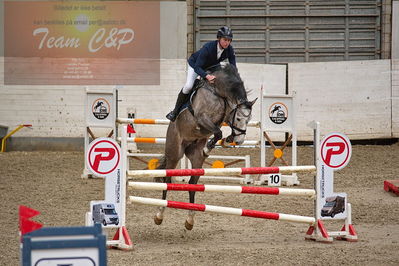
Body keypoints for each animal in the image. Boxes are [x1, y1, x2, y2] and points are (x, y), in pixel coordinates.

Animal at [155, 63, 258, 230]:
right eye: (238, 118)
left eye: (249, 120)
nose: (240, 141)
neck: (219, 93)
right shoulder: (202, 118)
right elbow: (218, 132)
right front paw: (210, 146)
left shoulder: (221, 118)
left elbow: (219, 132)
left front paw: (220, 143)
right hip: (174, 153)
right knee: (167, 180)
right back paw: (159, 214)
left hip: (196, 158)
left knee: (192, 184)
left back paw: (190, 219)